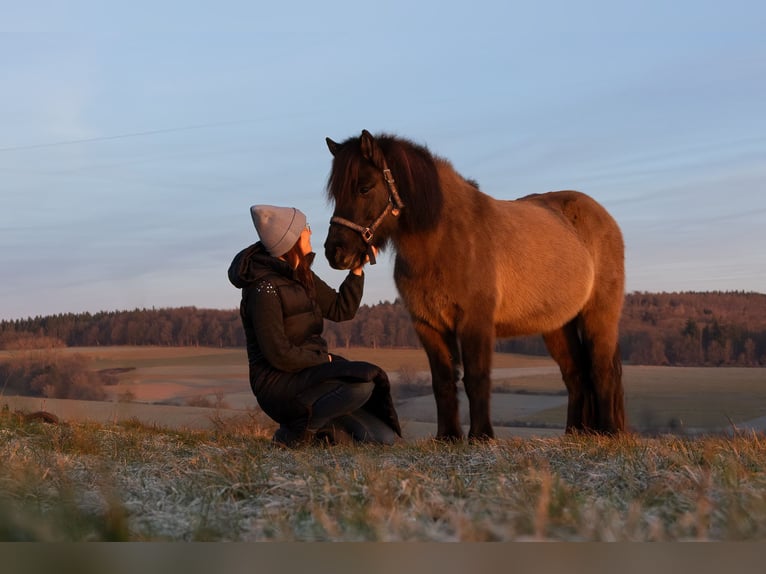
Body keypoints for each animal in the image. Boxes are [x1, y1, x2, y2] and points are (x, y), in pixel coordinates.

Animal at [323, 130, 626, 439]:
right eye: (335, 194)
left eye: (364, 188)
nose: (335, 253)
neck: (444, 240)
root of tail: (602, 216)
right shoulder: (428, 325)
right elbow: (443, 382)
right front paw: (448, 436)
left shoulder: (475, 322)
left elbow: (477, 378)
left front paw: (481, 435)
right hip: (557, 326)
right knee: (575, 374)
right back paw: (575, 434)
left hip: (598, 315)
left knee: (602, 370)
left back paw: (608, 432)